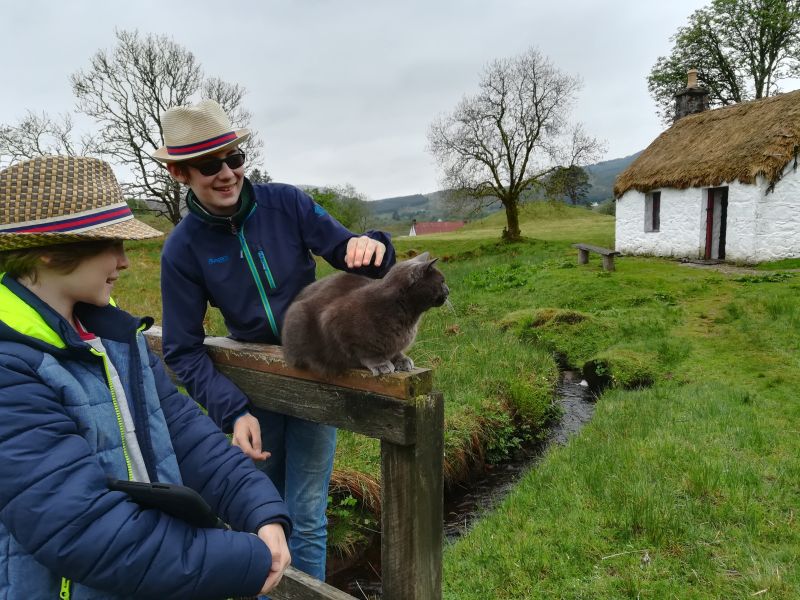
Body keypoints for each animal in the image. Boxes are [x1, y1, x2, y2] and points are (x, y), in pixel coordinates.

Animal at [282, 252, 446, 376]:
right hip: (298, 317)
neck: (409, 316)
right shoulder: (334, 322)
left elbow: (395, 350)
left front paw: (402, 359)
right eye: (442, 282)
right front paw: (381, 364)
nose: (448, 290)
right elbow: (365, 352)